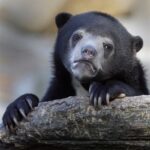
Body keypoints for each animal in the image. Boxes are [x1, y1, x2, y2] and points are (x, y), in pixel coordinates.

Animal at [2, 11, 149, 129]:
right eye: (77, 36)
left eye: (107, 46)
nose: (88, 51)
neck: (83, 85)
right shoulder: (60, 88)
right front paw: (18, 108)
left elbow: (137, 92)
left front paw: (102, 90)